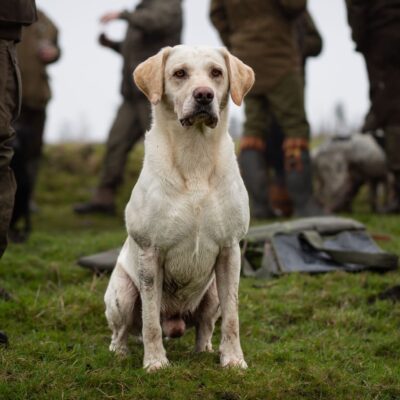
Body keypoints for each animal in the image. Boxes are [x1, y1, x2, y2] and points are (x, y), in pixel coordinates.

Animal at [103, 45, 253, 370]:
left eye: (216, 72)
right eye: (179, 73)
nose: (204, 95)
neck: (195, 156)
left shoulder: (230, 249)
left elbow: (233, 318)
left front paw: (234, 360)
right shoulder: (150, 252)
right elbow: (149, 320)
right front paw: (155, 363)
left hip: (212, 293)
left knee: (206, 326)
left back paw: (205, 351)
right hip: (122, 292)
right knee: (122, 330)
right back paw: (120, 352)